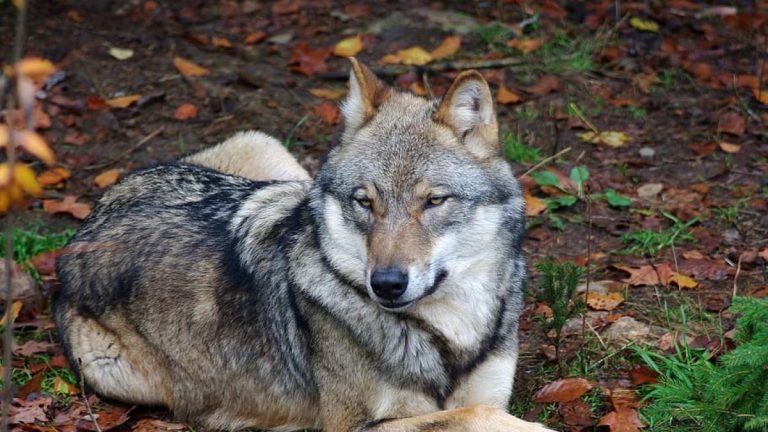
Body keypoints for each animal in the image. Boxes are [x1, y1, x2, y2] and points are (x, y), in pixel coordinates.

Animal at [54, 59, 551, 432]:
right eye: (365, 202)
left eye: (433, 201)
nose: (386, 283)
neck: (451, 335)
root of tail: (89, 222)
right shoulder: (351, 426)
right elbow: (471, 415)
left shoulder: (493, 391)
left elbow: (479, 408)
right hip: (117, 375)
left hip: (278, 164)